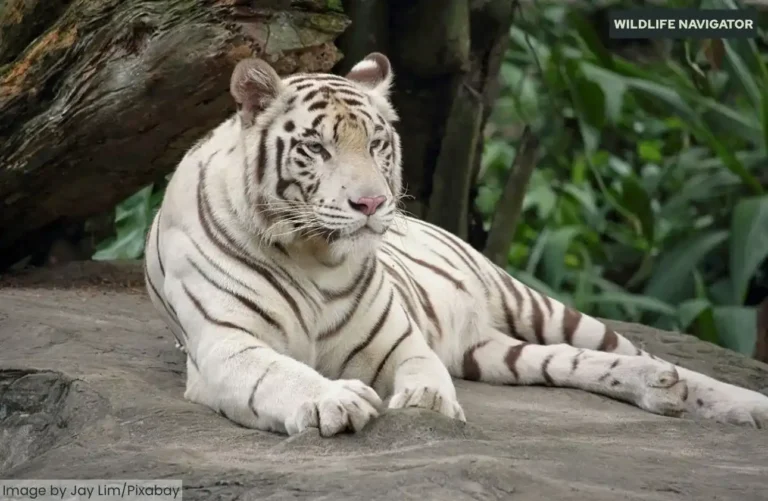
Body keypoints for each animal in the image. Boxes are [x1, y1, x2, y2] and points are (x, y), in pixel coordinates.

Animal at [143, 52, 768, 436]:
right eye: (317, 148)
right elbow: (280, 374)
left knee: (645, 354)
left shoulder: (397, 341)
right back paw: (663, 392)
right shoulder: (227, 346)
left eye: (376, 143)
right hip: (493, 352)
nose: (371, 204)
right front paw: (333, 400)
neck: (315, 255)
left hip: (536, 306)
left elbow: (422, 371)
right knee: (574, 363)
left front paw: (427, 404)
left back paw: (731, 401)